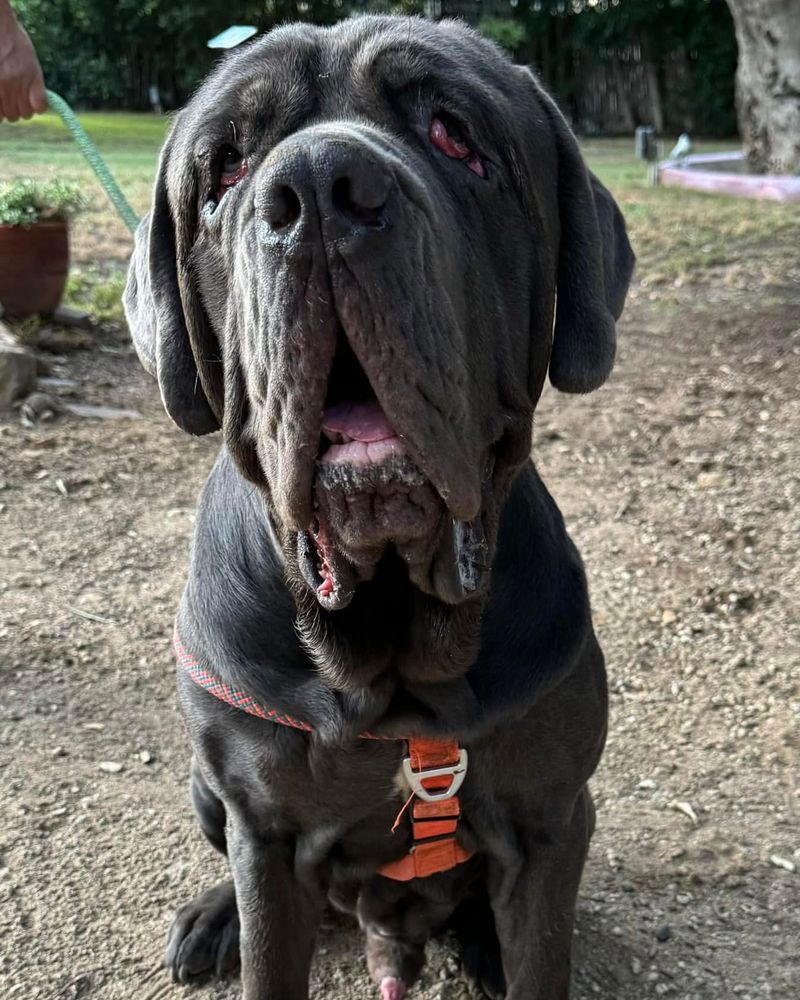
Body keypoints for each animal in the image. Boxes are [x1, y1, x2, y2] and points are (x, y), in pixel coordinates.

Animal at [123, 13, 632, 1000]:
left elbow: (541, 951)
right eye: (227, 169)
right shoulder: (263, 827)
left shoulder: (554, 817)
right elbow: (269, 940)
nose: (321, 188)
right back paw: (212, 918)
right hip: (208, 792)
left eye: (455, 134)